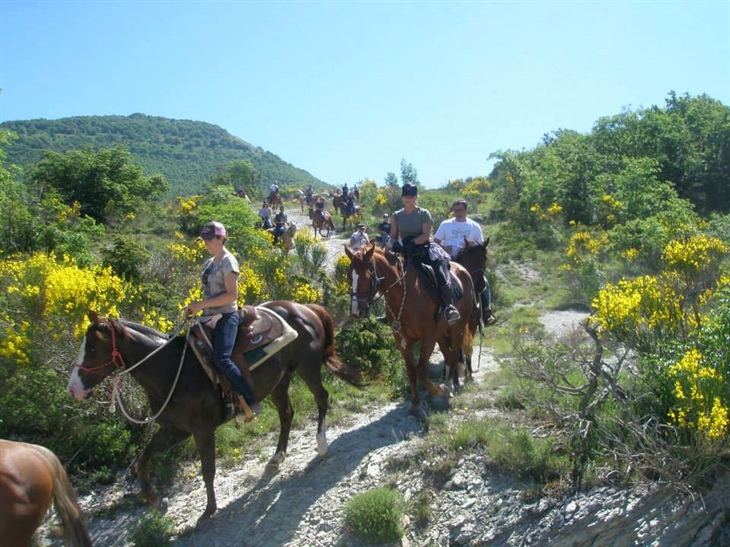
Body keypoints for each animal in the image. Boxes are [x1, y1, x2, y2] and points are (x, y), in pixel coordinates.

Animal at [67, 304, 362, 524]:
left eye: (91, 348)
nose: (73, 389)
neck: (172, 370)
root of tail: (305, 308)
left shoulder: (202, 429)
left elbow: (208, 469)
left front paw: (209, 510)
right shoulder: (175, 430)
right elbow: (142, 461)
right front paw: (156, 501)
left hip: (308, 367)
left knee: (322, 398)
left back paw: (322, 445)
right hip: (281, 379)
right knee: (287, 413)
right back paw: (277, 456)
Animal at [346, 245, 480, 420]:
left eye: (366, 275)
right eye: (349, 276)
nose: (356, 311)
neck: (405, 293)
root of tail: (464, 270)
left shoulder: (428, 337)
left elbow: (421, 370)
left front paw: (438, 390)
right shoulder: (402, 340)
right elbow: (411, 372)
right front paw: (415, 406)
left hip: (457, 327)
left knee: (453, 355)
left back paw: (449, 388)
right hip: (440, 333)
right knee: (447, 355)